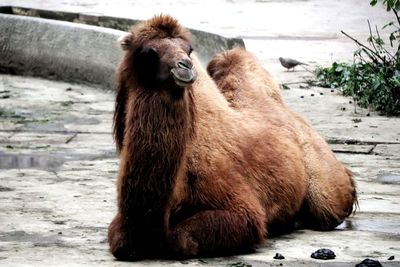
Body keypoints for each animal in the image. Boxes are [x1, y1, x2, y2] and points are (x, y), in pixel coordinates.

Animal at [107, 15, 356, 262]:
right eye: (149, 52)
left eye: (189, 50)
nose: (185, 66)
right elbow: (120, 242)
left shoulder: (238, 205)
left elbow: (183, 239)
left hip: (325, 186)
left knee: (327, 209)